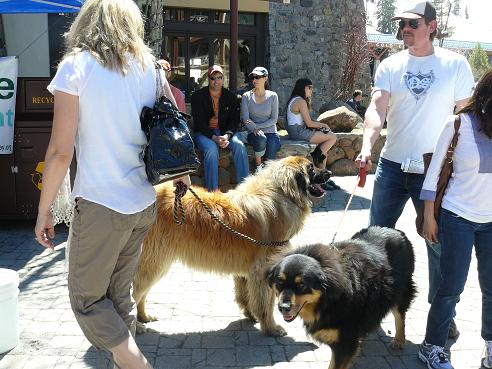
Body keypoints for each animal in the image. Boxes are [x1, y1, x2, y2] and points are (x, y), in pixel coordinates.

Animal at [133, 157, 328, 334]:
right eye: (311, 169)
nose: (328, 172)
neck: (282, 194)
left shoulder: (246, 271)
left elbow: (245, 295)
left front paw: (250, 315)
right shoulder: (262, 270)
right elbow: (266, 303)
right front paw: (271, 327)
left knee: (141, 293)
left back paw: (143, 317)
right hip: (154, 261)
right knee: (134, 292)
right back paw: (137, 326)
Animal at [266, 226, 416, 366]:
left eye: (301, 284)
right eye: (279, 282)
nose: (283, 308)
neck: (327, 300)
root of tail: (396, 231)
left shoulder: (345, 341)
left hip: (401, 291)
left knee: (400, 316)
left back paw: (399, 340)